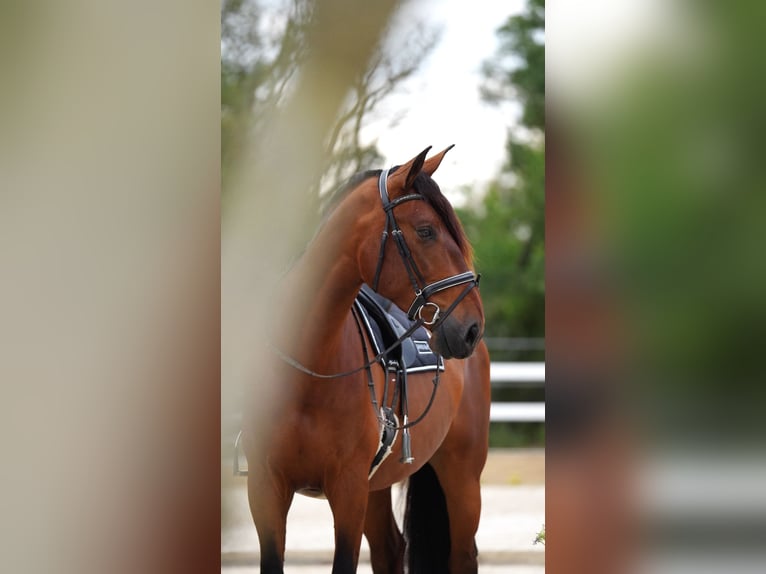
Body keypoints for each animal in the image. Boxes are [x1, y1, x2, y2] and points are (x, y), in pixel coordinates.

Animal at [242, 146, 491, 573]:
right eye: (426, 231)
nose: (472, 327)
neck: (307, 370)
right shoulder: (265, 487)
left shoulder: (348, 489)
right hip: (379, 485)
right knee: (391, 549)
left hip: (461, 477)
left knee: (462, 555)